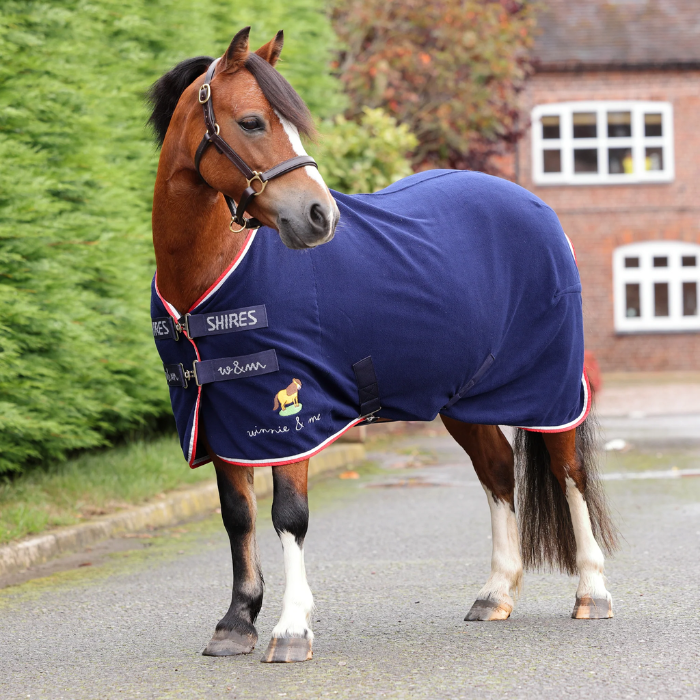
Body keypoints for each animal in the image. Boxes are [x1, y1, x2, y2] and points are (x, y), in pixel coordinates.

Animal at [147, 27, 617, 663]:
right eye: (251, 121)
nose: (319, 216)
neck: (208, 278)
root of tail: (536, 207)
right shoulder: (222, 416)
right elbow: (237, 516)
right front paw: (236, 623)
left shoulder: (292, 415)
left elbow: (288, 516)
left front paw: (291, 630)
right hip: (460, 399)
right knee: (498, 472)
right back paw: (495, 594)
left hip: (549, 389)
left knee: (570, 474)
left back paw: (592, 593)